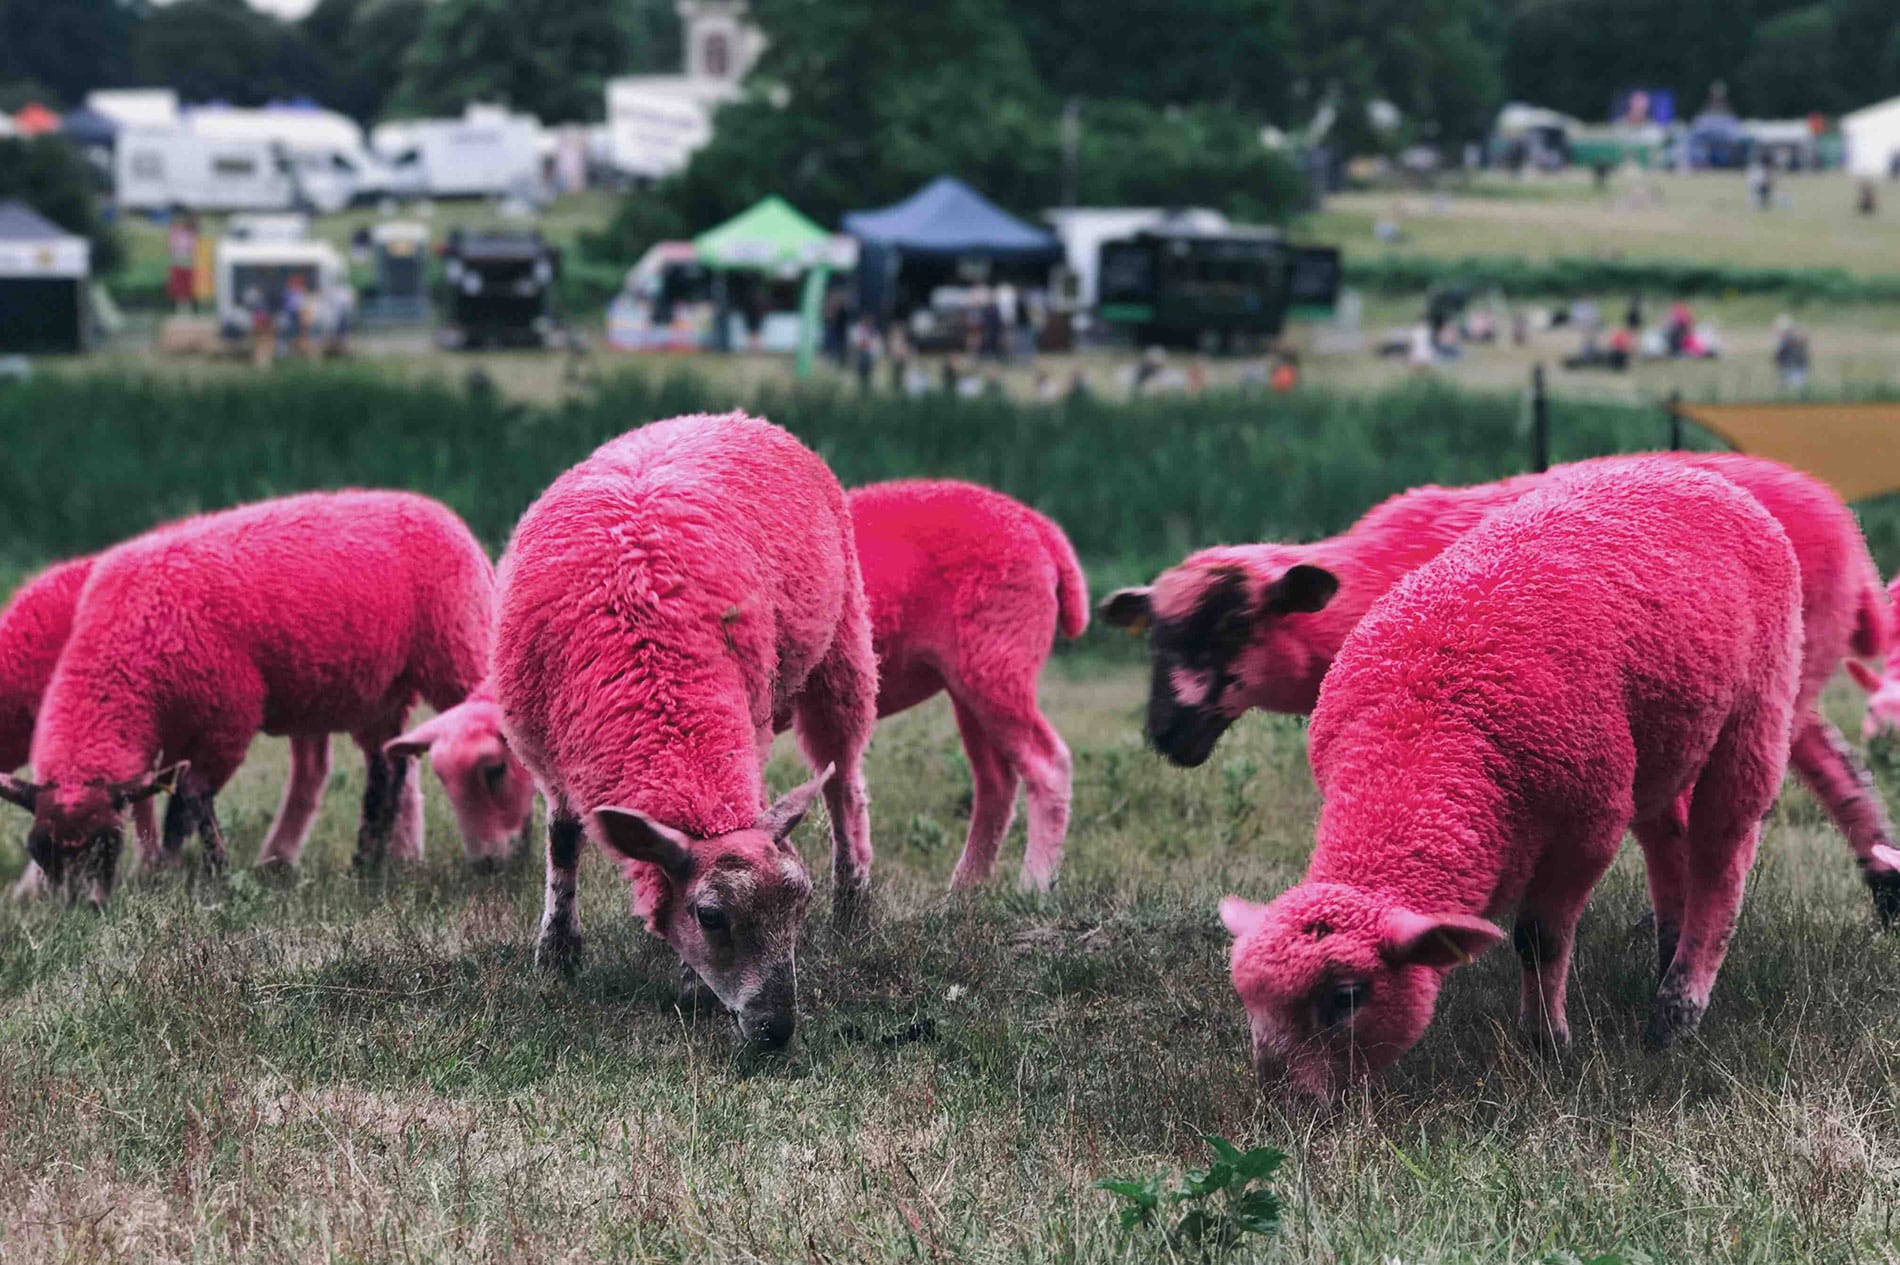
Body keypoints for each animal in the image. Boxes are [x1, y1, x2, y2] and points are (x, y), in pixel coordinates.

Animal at [0, 486, 497, 900]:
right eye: (39, 850)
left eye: (105, 844)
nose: (76, 908)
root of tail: (439, 511)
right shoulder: (174, 729)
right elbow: (171, 799)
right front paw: (166, 870)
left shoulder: (229, 714)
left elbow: (189, 797)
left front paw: (206, 872)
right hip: (378, 691)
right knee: (387, 767)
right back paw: (365, 865)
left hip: (456, 648)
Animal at [490, 412, 874, 1040]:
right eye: (710, 917)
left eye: (800, 904)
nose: (776, 1030)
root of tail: (734, 415)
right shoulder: (549, 751)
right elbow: (563, 840)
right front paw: (558, 952)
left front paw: (690, 984)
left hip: (844, 648)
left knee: (843, 782)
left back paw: (854, 905)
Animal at [1102, 453, 1900, 915]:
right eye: (1156, 636)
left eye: (1237, 624)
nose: (1166, 733)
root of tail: (1854, 540)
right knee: (1838, 768)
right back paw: (1883, 887)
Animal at [1223, 461, 1801, 1094]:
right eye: (1247, 998)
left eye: (1346, 996)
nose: (1283, 1101)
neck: (1420, 733)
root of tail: (1691, 470)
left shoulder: (1588, 825)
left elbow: (1538, 937)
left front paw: (1546, 1042)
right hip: (1660, 742)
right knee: (1668, 837)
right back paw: (1666, 955)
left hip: (1758, 703)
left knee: (1722, 851)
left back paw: (1675, 1011)